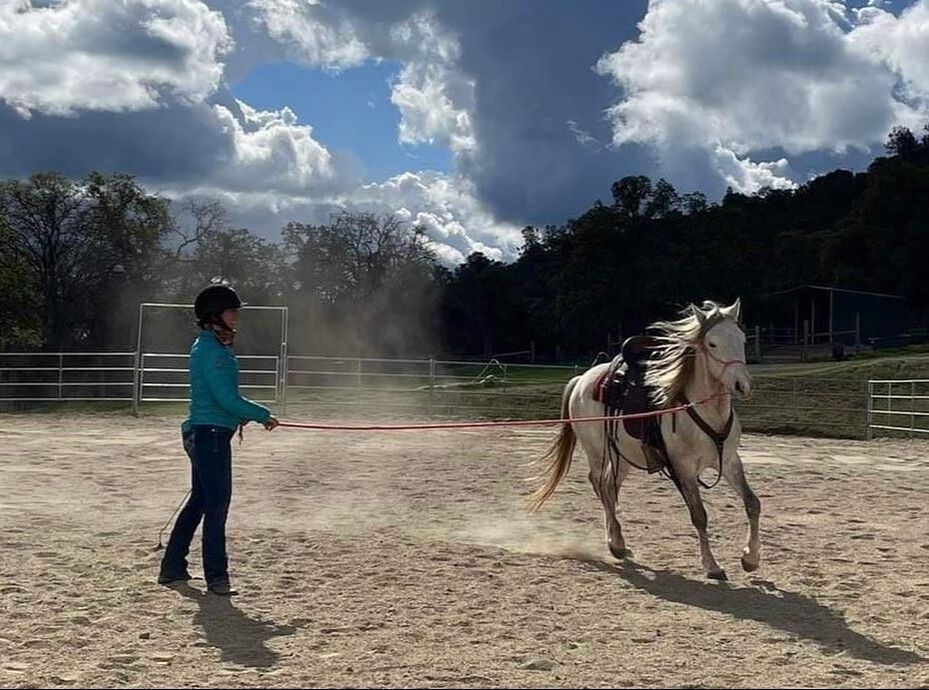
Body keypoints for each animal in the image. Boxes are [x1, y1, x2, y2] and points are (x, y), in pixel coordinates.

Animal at [532, 298, 756, 576]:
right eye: (712, 343)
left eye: (742, 339)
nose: (742, 385)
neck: (705, 411)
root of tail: (581, 379)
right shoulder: (683, 469)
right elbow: (699, 516)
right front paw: (712, 565)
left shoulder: (729, 461)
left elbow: (752, 503)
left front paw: (750, 559)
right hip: (597, 451)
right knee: (599, 484)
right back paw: (616, 545)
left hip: (623, 457)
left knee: (609, 487)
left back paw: (618, 541)